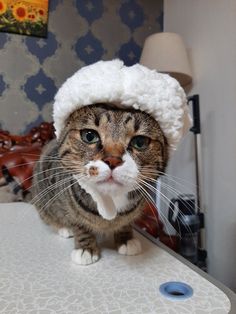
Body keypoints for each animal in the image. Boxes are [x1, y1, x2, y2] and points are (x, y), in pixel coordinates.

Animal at [32, 103, 169, 264]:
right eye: (89, 136)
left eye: (140, 142)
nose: (113, 160)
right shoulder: (72, 211)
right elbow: (79, 225)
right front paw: (85, 248)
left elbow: (126, 223)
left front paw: (126, 239)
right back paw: (64, 228)